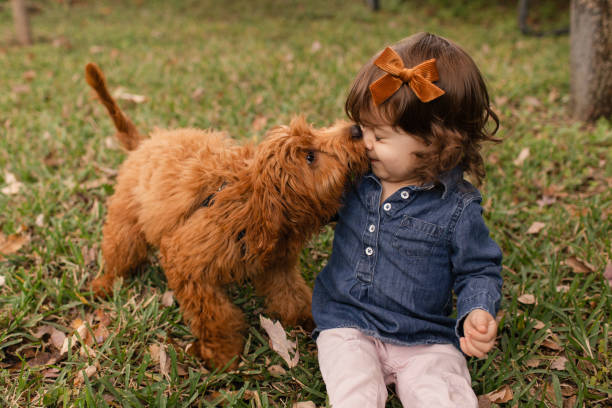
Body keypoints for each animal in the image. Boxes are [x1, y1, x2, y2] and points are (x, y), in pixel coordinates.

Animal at [83, 63, 366, 370]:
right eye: (310, 157)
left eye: (314, 131)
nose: (356, 129)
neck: (250, 200)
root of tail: (144, 143)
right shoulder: (186, 262)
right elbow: (214, 315)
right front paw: (222, 354)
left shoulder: (276, 263)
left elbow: (290, 294)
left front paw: (308, 318)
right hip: (127, 220)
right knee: (121, 251)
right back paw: (104, 283)